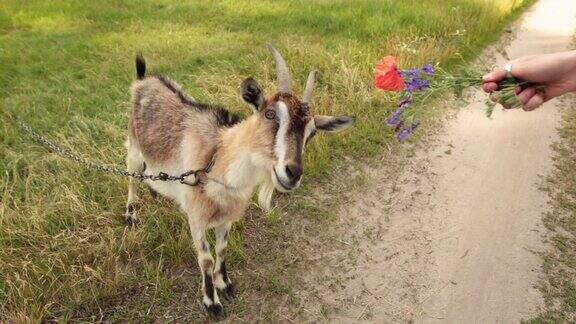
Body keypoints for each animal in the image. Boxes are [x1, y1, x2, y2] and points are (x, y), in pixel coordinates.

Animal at [124, 44, 354, 318]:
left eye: (312, 133)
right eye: (270, 114)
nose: (293, 173)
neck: (216, 160)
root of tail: (143, 79)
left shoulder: (228, 215)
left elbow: (222, 249)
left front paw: (225, 284)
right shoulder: (197, 218)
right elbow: (206, 259)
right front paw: (212, 303)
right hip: (133, 146)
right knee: (131, 178)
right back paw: (130, 216)